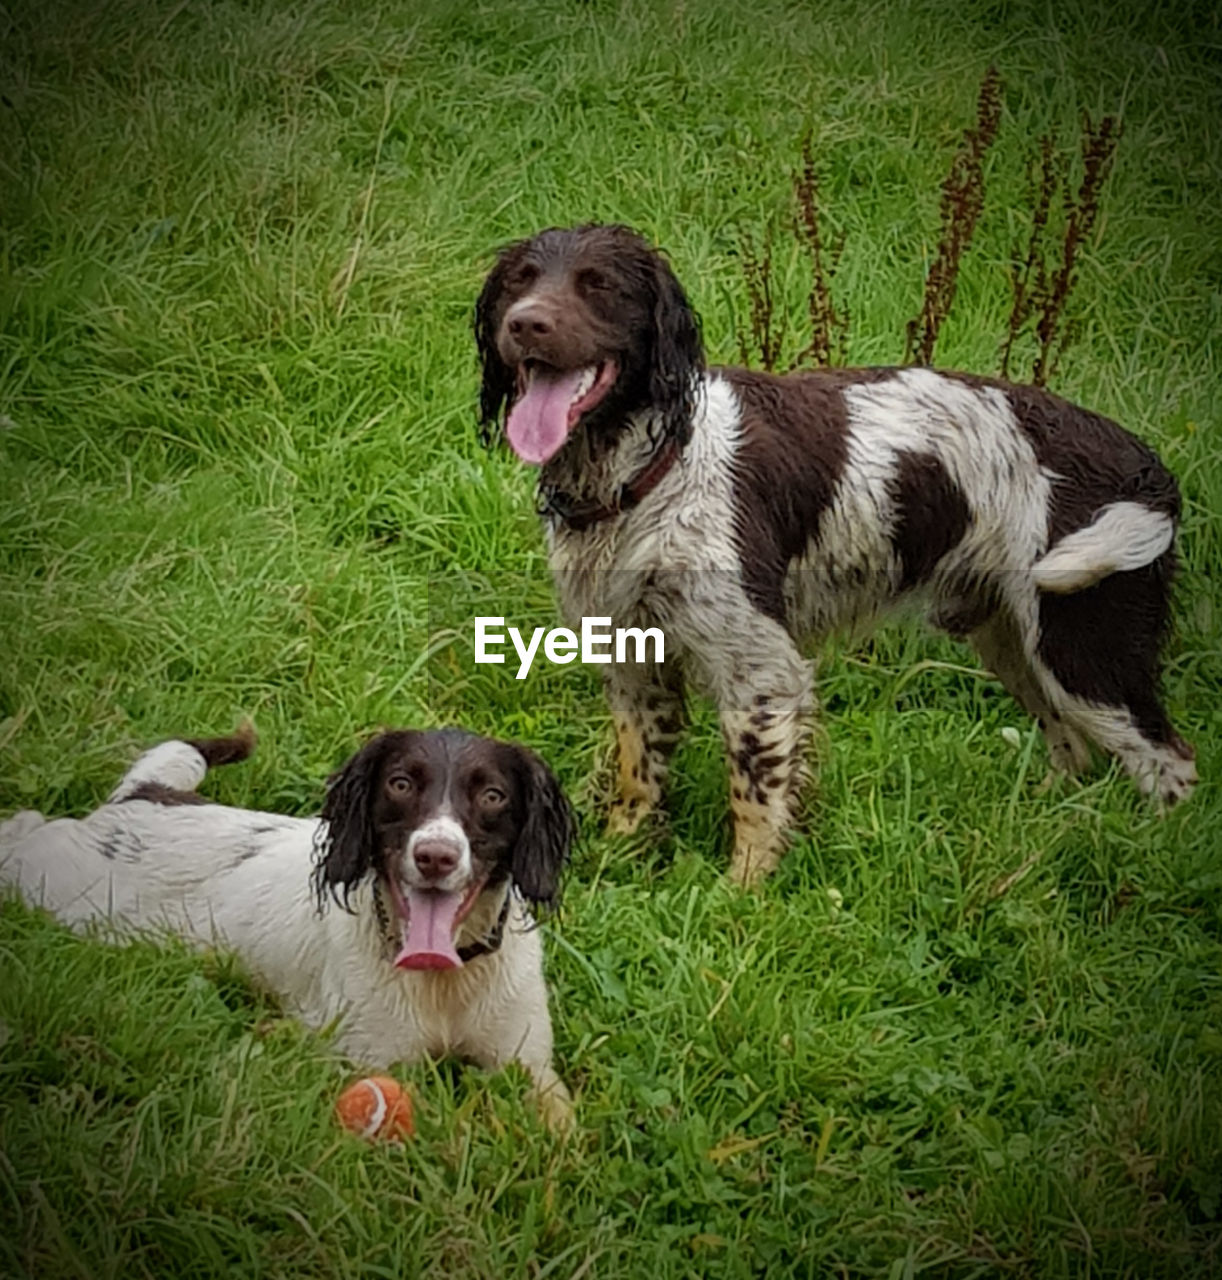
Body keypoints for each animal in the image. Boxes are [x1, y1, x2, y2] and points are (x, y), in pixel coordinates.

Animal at [0, 727, 575, 1126]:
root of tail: (140, 797)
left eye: (493, 795)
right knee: (25, 826)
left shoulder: (528, 1062)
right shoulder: (378, 1060)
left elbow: (562, 1125)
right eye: (400, 783)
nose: (435, 856)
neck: (443, 979)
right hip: (50, 885)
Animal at [476, 220, 1192, 885]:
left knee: (1169, 763)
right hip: (1013, 640)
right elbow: (639, 773)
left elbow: (755, 791)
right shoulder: (633, 660)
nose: (526, 323)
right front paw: (618, 857)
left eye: (599, 285)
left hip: (1084, 647)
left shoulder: (761, 667)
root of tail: (1140, 459)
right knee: (1072, 748)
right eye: (520, 280)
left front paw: (743, 892)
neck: (646, 471)